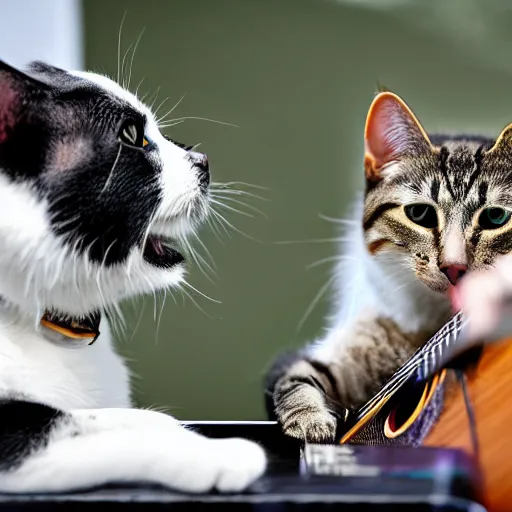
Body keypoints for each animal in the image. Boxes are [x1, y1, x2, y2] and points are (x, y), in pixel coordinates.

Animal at [0, 59, 266, 492]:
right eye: (131, 135)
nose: (203, 159)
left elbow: (112, 415)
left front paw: (174, 428)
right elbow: (72, 426)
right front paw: (220, 453)